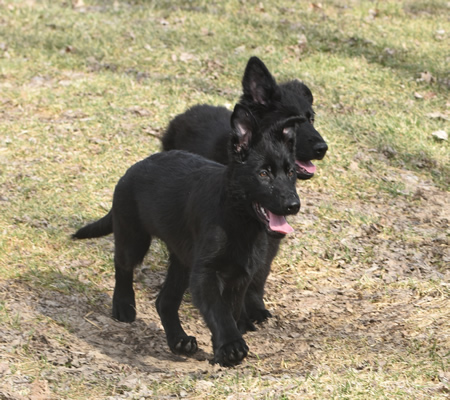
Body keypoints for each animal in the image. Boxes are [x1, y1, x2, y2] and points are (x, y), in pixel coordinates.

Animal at [74, 104, 302, 368]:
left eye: (291, 172)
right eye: (264, 173)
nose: (293, 205)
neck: (237, 221)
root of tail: (134, 168)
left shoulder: (240, 275)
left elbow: (231, 311)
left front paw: (222, 348)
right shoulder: (205, 272)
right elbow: (219, 311)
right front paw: (230, 346)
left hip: (182, 260)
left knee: (164, 301)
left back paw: (178, 341)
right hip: (134, 237)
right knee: (122, 266)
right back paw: (123, 306)